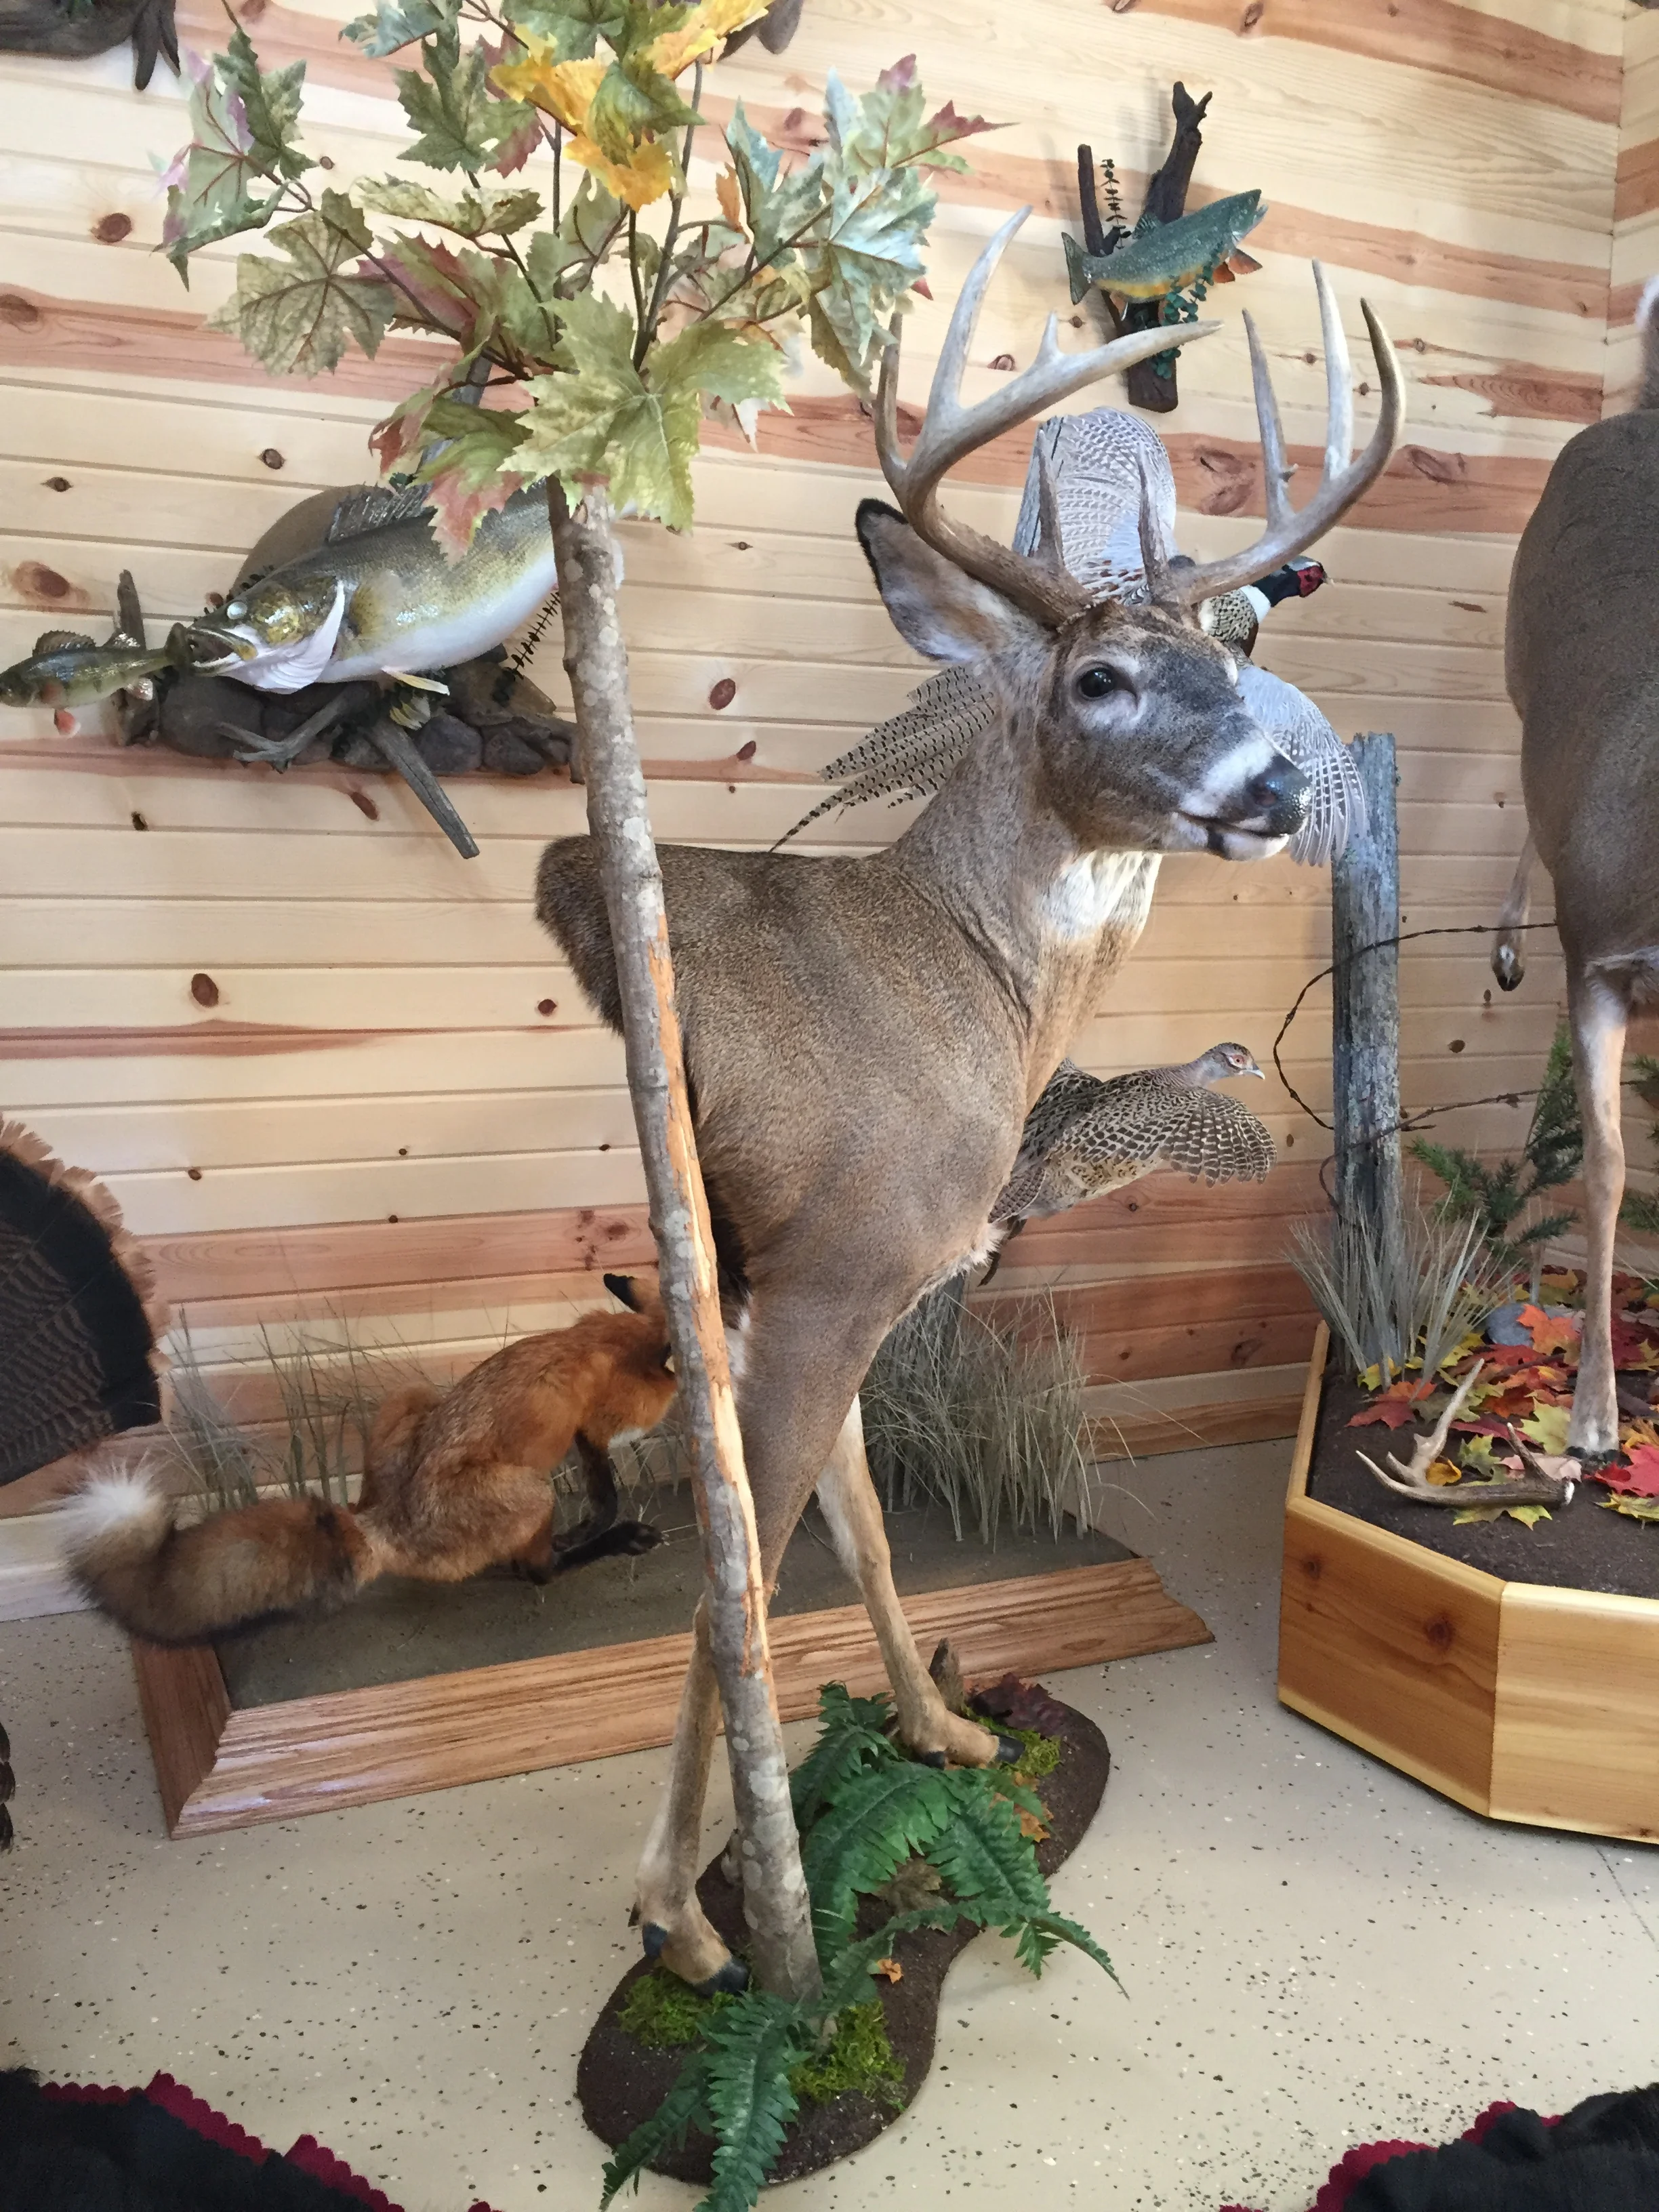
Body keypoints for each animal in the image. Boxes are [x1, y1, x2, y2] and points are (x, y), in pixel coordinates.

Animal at [536, 209, 1403, 1993]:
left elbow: (860, 1526)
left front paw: (950, 1734)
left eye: (1237, 666)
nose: (1279, 785)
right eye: (1102, 681)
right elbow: (747, 1573)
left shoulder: (825, 1289)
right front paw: (686, 1914)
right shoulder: (831, 1268)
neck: (973, 990)